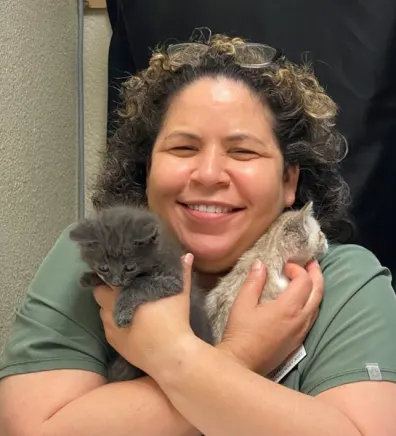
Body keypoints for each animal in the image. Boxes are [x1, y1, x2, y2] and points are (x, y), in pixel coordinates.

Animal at [70, 204, 213, 382]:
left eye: (130, 267)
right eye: (103, 267)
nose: (117, 281)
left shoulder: (173, 280)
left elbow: (139, 283)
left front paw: (122, 312)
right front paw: (89, 278)